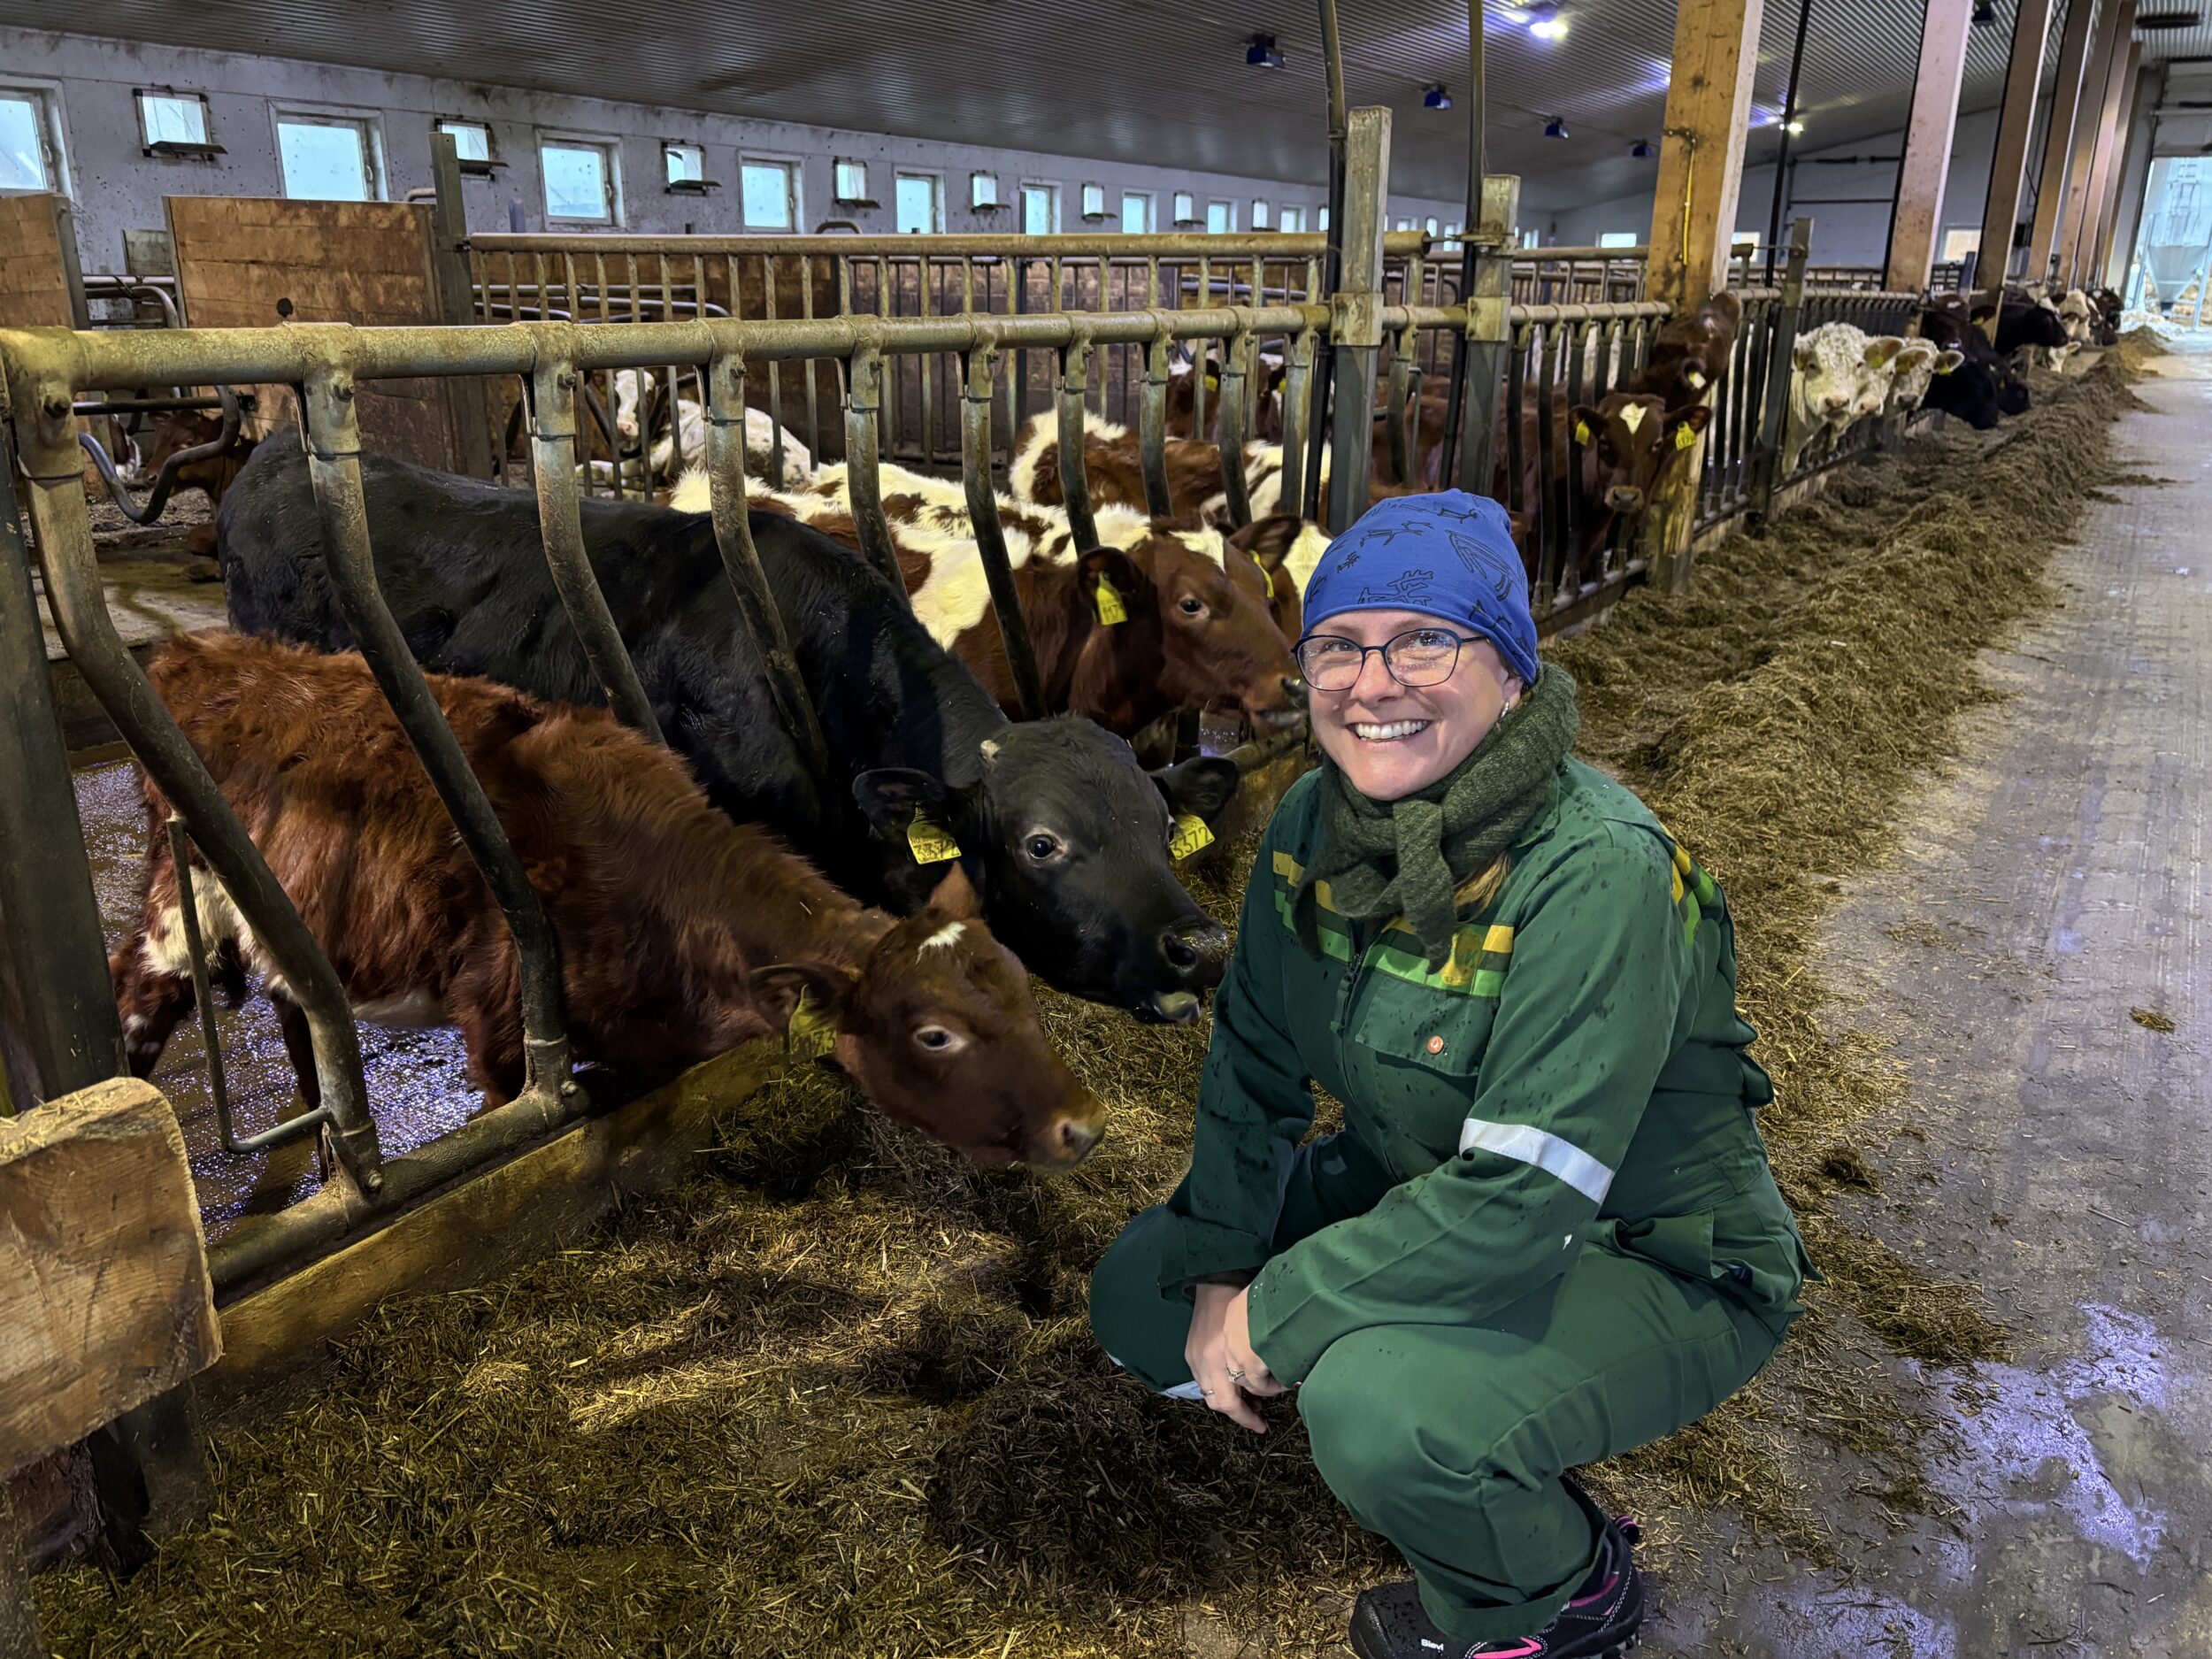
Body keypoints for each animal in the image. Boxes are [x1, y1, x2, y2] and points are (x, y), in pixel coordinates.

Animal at [116, 633, 1102, 1168]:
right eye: (935, 1035)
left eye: (1022, 988)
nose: (1084, 1125)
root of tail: (205, 652)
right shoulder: (501, 1036)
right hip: (180, 897)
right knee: (144, 991)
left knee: (296, 1002)